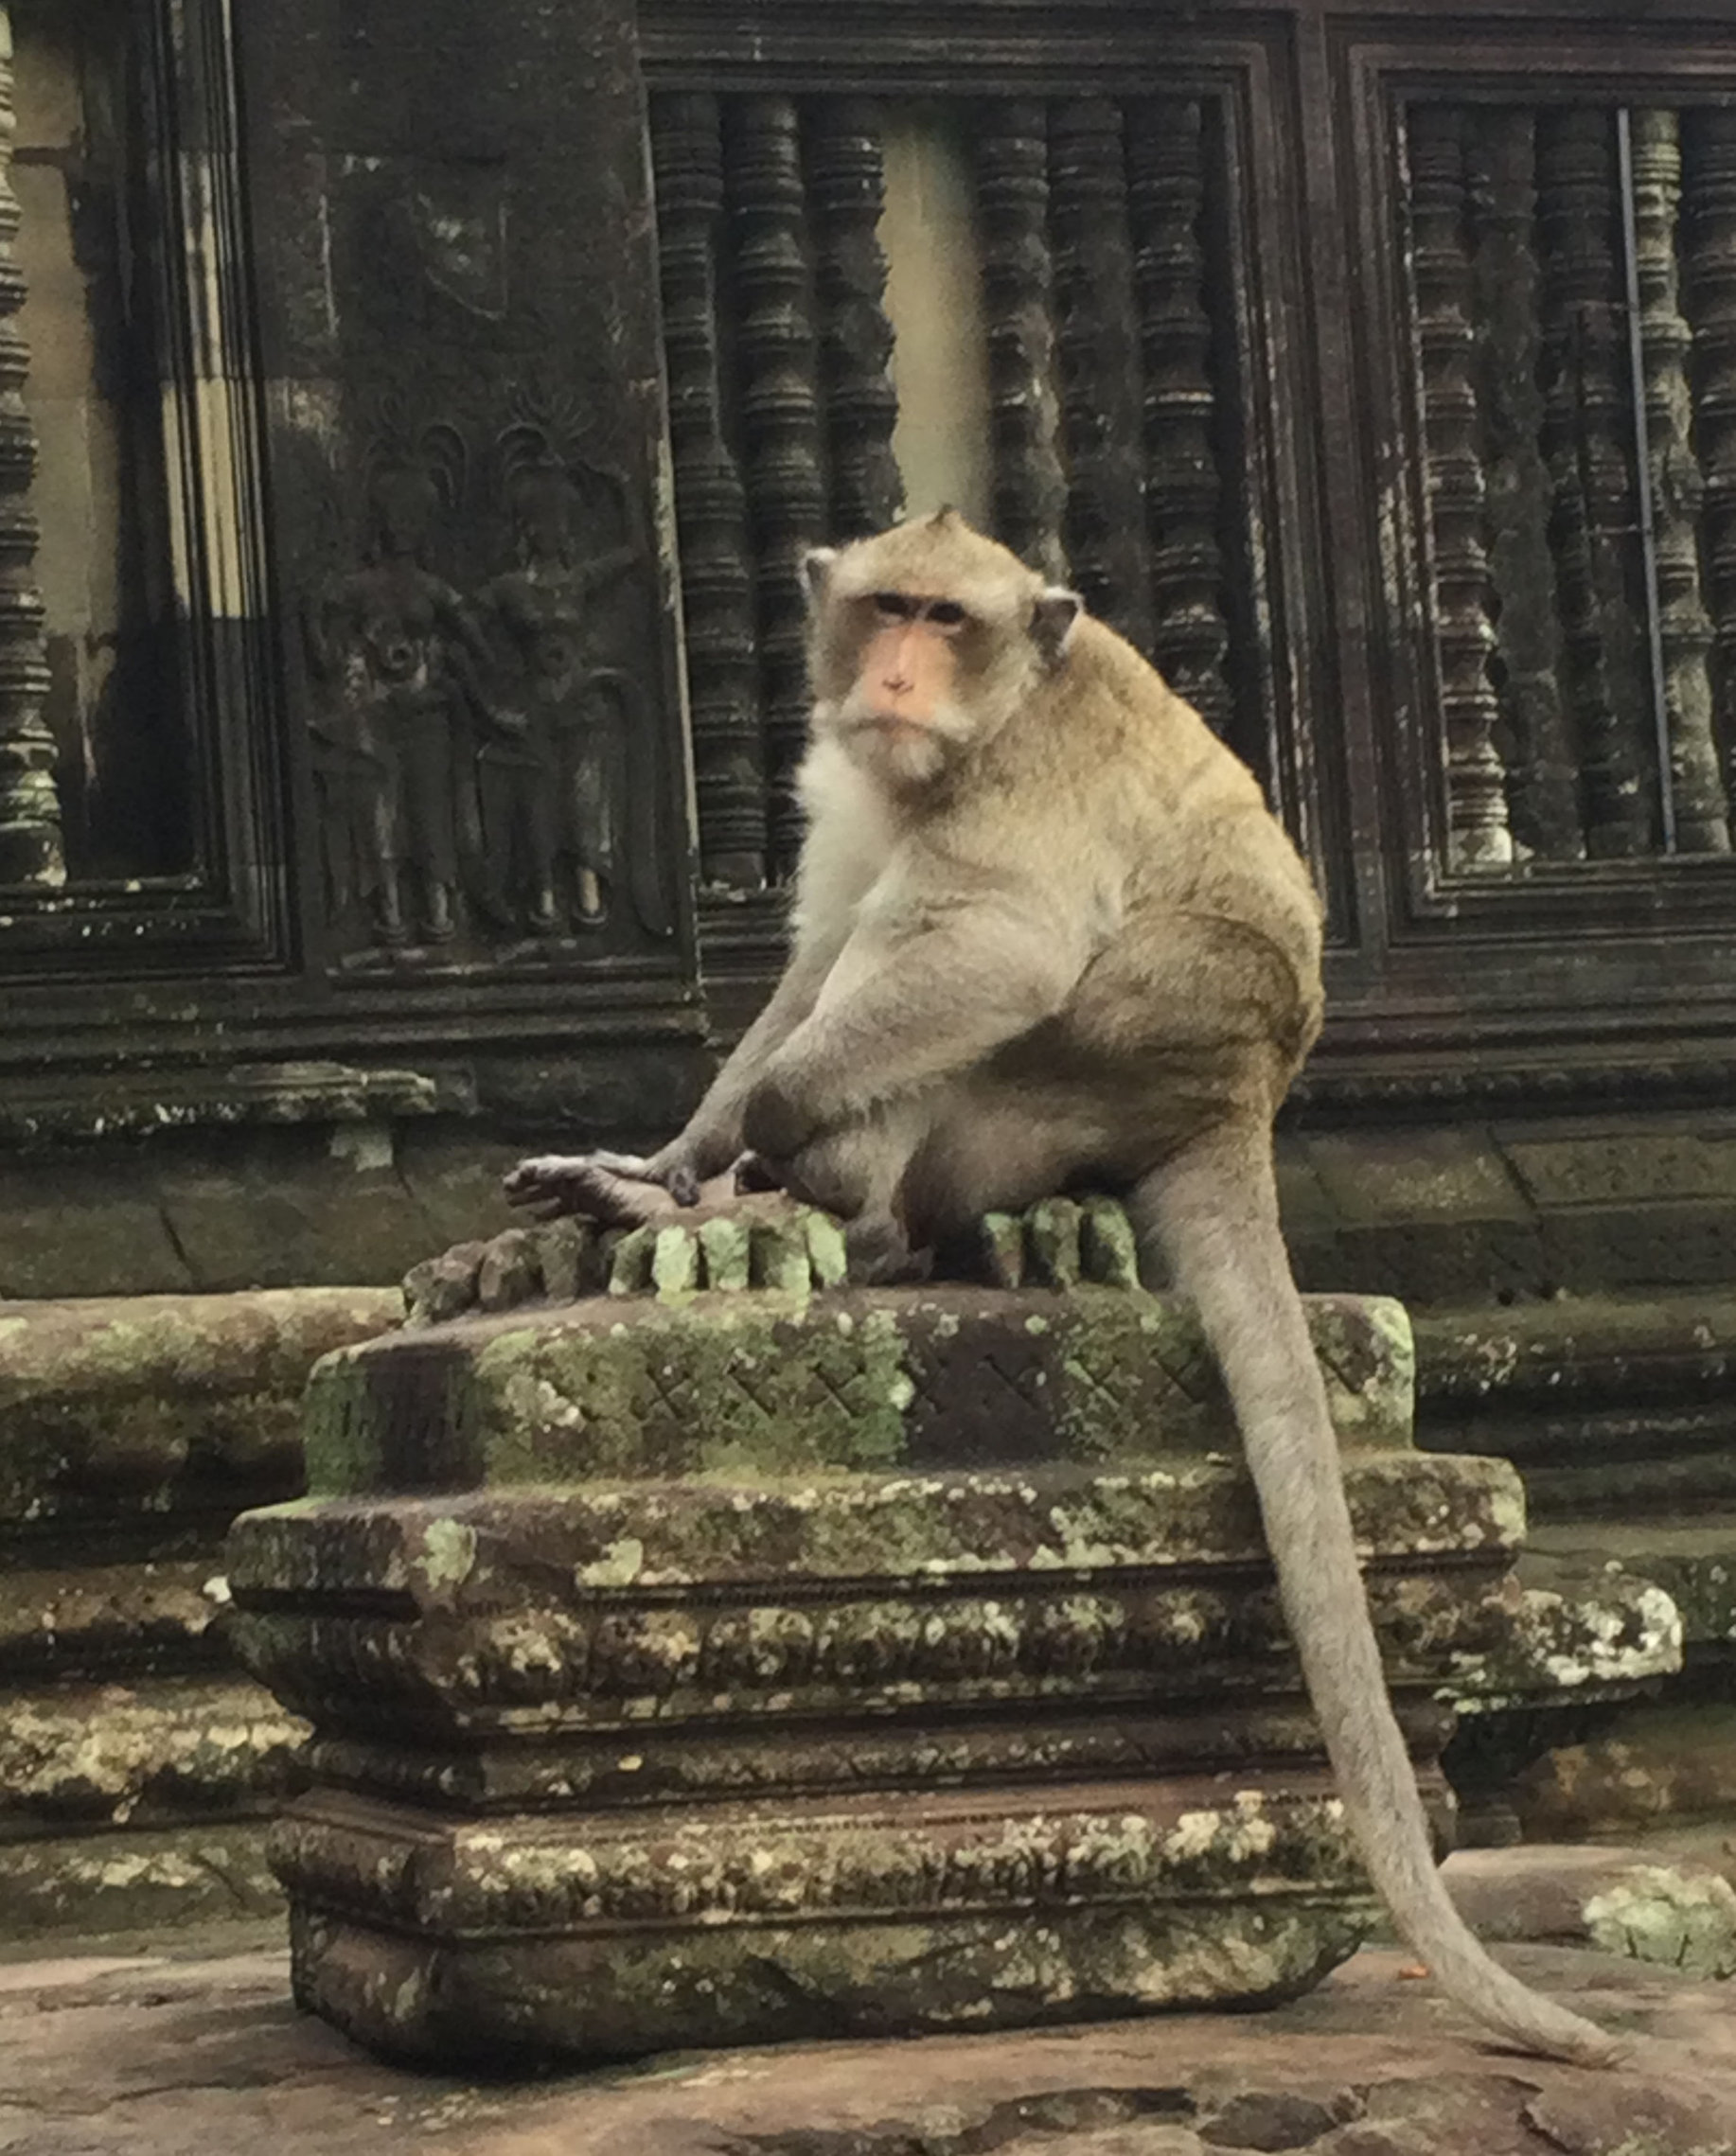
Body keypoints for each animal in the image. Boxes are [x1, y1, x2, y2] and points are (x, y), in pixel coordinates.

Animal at [504, 508, 1625, 2068]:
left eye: (947, 622)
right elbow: (810, 956)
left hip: (1082, 1072)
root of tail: (1237, 1102)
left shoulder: (1031, 782)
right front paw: (674, 1161)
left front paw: (765, 1151)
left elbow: (995, 947)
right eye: (885, 609)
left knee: (970, 975)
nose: (895, 676)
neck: (971, 732)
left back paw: (839, 1213)